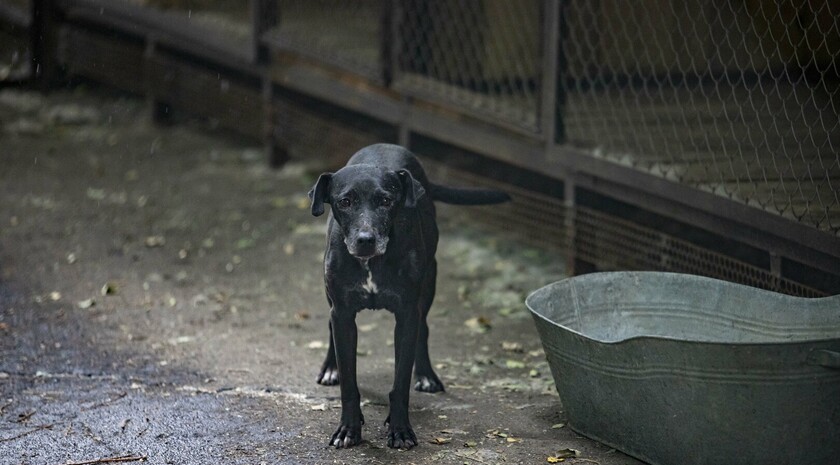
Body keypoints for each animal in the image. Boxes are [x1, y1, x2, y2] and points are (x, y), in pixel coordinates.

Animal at [306, 143, 508, 448]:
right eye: (345, 201)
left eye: (386, 201)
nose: (366, 240)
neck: (372, 263)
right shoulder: (342, 313)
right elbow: (349, 383)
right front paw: (348, 428)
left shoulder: (406, 316)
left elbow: (400, 382)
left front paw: (400, 429)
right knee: (330, 328)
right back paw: (331, 368)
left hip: (428, 286)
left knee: (423, 329)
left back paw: (425, 375)